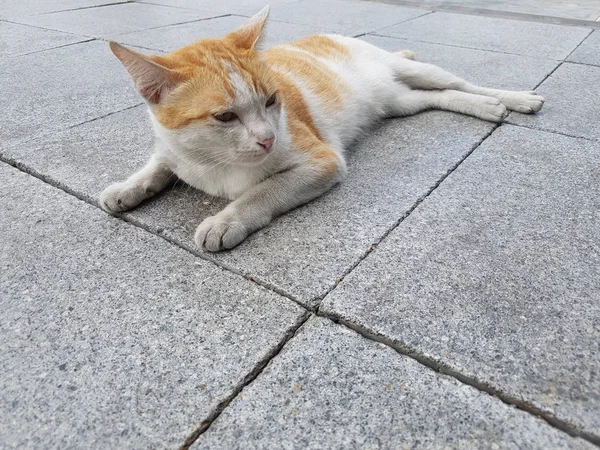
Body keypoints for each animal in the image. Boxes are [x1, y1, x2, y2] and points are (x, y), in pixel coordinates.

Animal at [102, 7, 544, 251]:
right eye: (225, 117)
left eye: (272, 100)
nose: (268, 138)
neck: (215, 164)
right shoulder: (173, 150)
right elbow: (158, 165)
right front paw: (128, 188)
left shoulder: (322, 160)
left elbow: (263, 191)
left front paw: (226, 221)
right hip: (400, 103)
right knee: (440, 98)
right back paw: (482, 106)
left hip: (413, 70)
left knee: (458, 83)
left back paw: (510, 99)